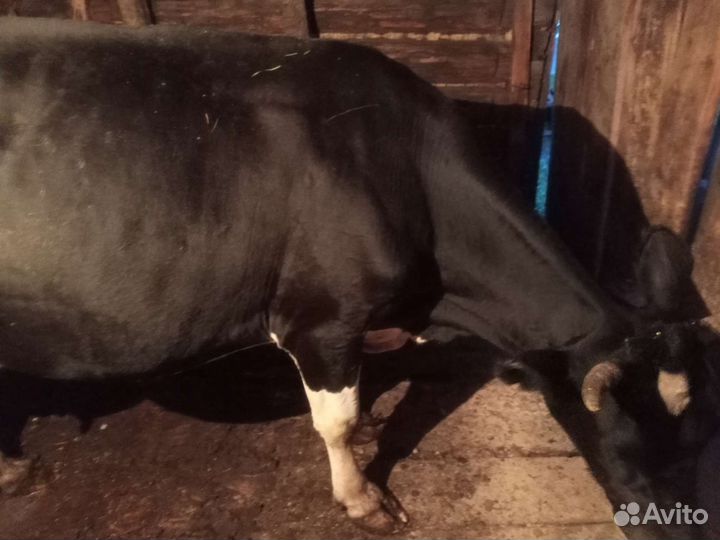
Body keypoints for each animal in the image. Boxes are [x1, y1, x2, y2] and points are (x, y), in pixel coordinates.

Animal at [0, 17, 714, 534]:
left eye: (690, 441)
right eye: (626, 444)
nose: (681, 526)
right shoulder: (321, 318)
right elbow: (335, 423)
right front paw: (364, 499)